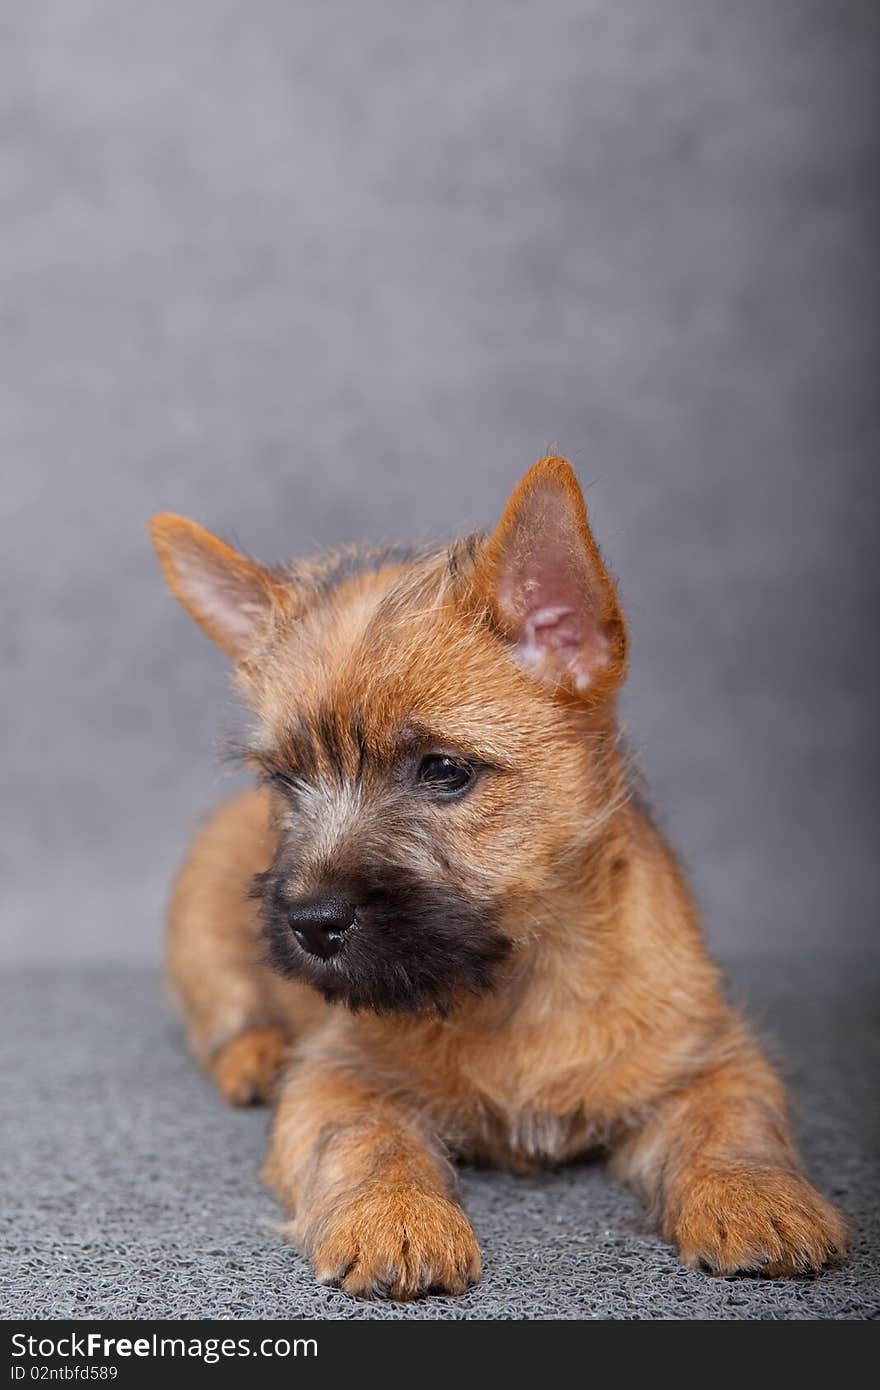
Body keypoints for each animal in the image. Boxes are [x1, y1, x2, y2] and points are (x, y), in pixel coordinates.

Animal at [149, 461, 845, 1295]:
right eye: (285, 780)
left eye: (444, 771)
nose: (310, 922)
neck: (518, 984)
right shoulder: (341, 1076)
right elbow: (366, 1141)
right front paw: (395, 1220)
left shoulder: (707, 1057)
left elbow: (734, 1125)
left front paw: (758, 1200)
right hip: (203, 943)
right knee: (225, 1016)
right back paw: (254, 1059)